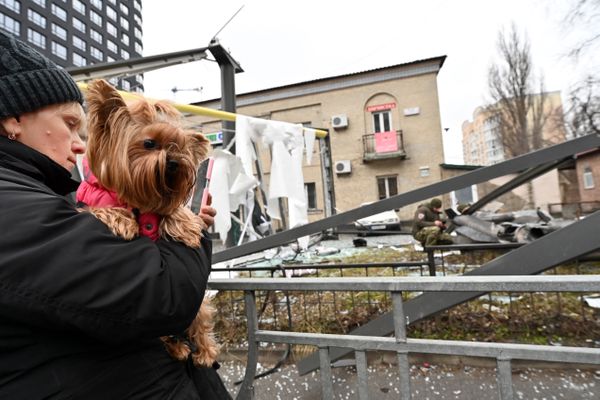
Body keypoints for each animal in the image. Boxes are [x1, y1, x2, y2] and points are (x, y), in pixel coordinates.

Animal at [76, 79, 219, 368]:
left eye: (179, 147)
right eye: (149, 143)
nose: (174, 161)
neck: (142, 199)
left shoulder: (164, 204)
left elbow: (174, 211)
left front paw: (188, 229)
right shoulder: (93, 199)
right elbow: (105, 207)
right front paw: (124, 221)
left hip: (198, 310)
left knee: (199, 320)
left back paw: (205, 352)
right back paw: (177, 348)